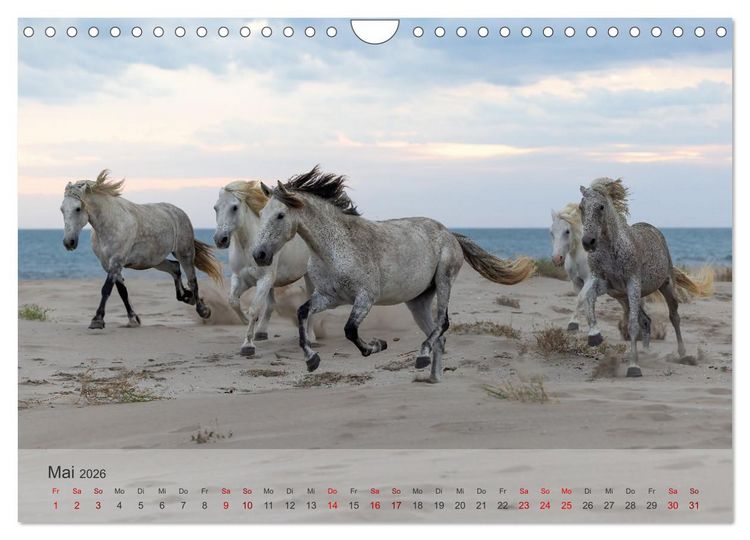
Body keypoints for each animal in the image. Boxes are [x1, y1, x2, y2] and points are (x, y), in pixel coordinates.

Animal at [61, 170, 223, 329]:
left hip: (184, 252)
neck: (109, 224)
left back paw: (203, 310)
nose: (69, 242)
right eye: (62, 209)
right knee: (175, 267)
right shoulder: (108, 265)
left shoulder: (116, 261)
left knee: (192, 280)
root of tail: (178, 211)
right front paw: (133, 319)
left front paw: (97, 320)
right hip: (155, 260)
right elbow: (122, 291)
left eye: (78, 208)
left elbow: (106, 289)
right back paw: (186, 297)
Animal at [213, 180, 315, 356]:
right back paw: (261, 332)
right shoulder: (240, 278)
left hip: (308, 275)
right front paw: (246, 321)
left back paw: (311, 337)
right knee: (271, 304)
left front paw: (248, 345)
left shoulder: (264, 280)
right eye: (216, 208)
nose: (220, 239)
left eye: (234, 207)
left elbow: (255, 308)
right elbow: (233, 301)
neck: (248, 246)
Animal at [251, 166, 536, 383]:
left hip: (444, 281)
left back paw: (421, 358)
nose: (259, 255)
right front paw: (312, 360)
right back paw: (432, 377)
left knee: (443, 324)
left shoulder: (365, 298)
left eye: (280, 215)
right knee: (439, 336)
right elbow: (302, 313)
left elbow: (350, 330)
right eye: (262, 214)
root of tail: (450, 234)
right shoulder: (329, 297)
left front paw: (376, 346)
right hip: (418, 301)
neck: (334, 247)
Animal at [579, 177, 710, 377]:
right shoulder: (607, 285)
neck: (612, 250)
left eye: (601, 206)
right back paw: (647, 353)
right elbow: (588, 298)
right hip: (624, 297)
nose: (588, 242)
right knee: (646, 321)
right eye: (581, 207)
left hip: (665, 287)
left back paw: (682, 354)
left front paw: (634, 367)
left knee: (674, 317)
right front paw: (594, 336)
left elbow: (632, 325)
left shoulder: (632, 283)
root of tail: (653, 229)